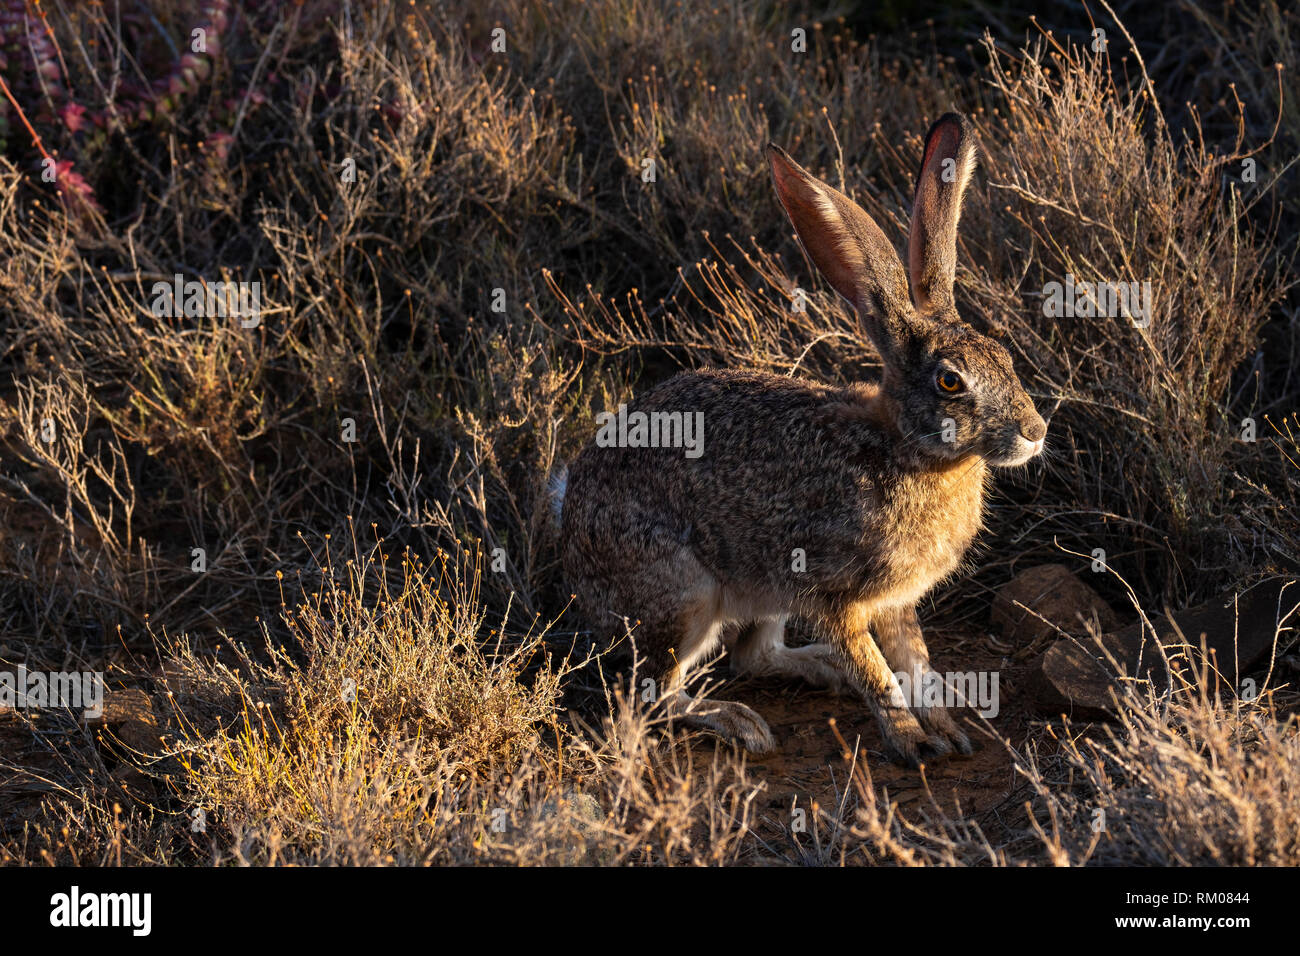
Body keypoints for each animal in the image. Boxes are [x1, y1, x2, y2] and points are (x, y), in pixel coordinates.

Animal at [556, 112, 1046, 766]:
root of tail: (572, 549)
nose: (1035, 433)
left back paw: (817, 674)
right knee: (647, 697)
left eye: (1004, 357)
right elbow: (876, 671)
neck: (907, 449)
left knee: (752, 656)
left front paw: (945, 727)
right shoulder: (833, 596)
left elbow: (915, 666)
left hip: (763, 595)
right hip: (683, 596)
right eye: (950, 381)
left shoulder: (895, 603)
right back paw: (739, 722)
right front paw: (912, 741)